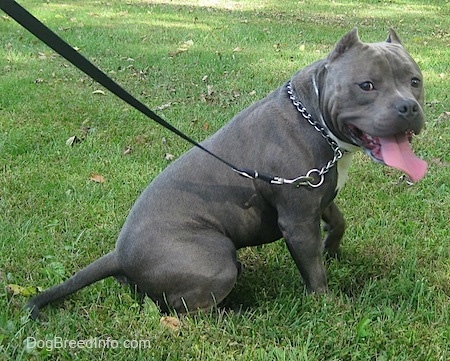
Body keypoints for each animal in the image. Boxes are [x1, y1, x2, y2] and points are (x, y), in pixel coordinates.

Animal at [26, 28, 428, 316]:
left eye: (415, 81)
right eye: (367, 85)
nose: (409, 107)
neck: (314, 117)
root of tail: (118, 255)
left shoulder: (318, 193)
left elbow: (339, 221)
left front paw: (332, 247)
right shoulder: (298, 219)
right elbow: (313, 270)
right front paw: (327, 303)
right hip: (216, 259)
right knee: (191, 312)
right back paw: (238, 313)